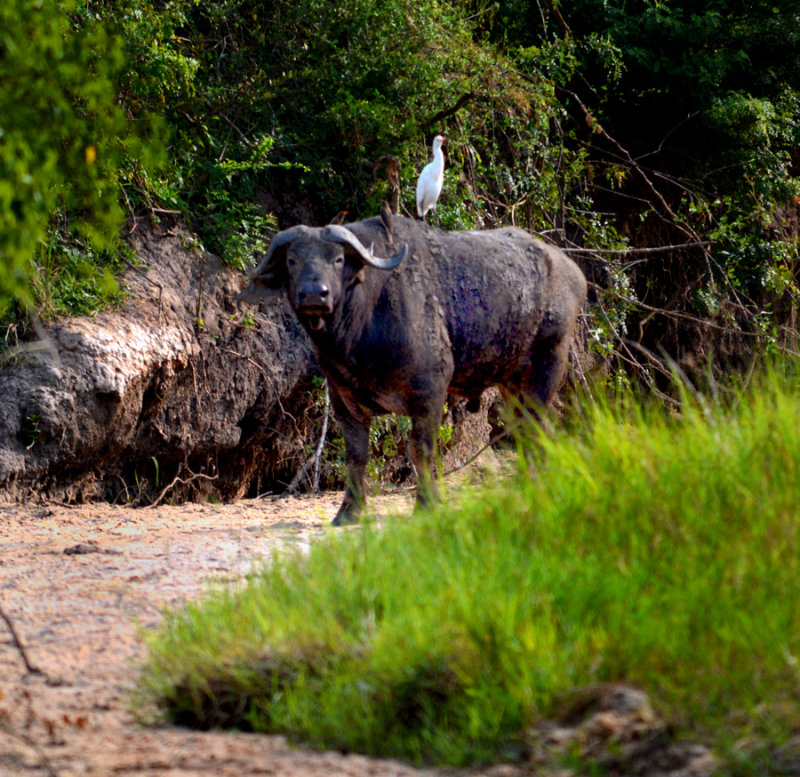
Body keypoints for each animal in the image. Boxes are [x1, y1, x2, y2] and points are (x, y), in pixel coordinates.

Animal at [244, 215, 588, 524]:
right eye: (292, 259)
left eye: (338, 259)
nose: (315, 293)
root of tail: (573, 272)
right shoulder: (345, 403)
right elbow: (356, 458)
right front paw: (349, 512)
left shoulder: (430, 393)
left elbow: (421, 450)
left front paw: (426, 504)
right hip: (512, 383)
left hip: (548, 367)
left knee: (537, 429)